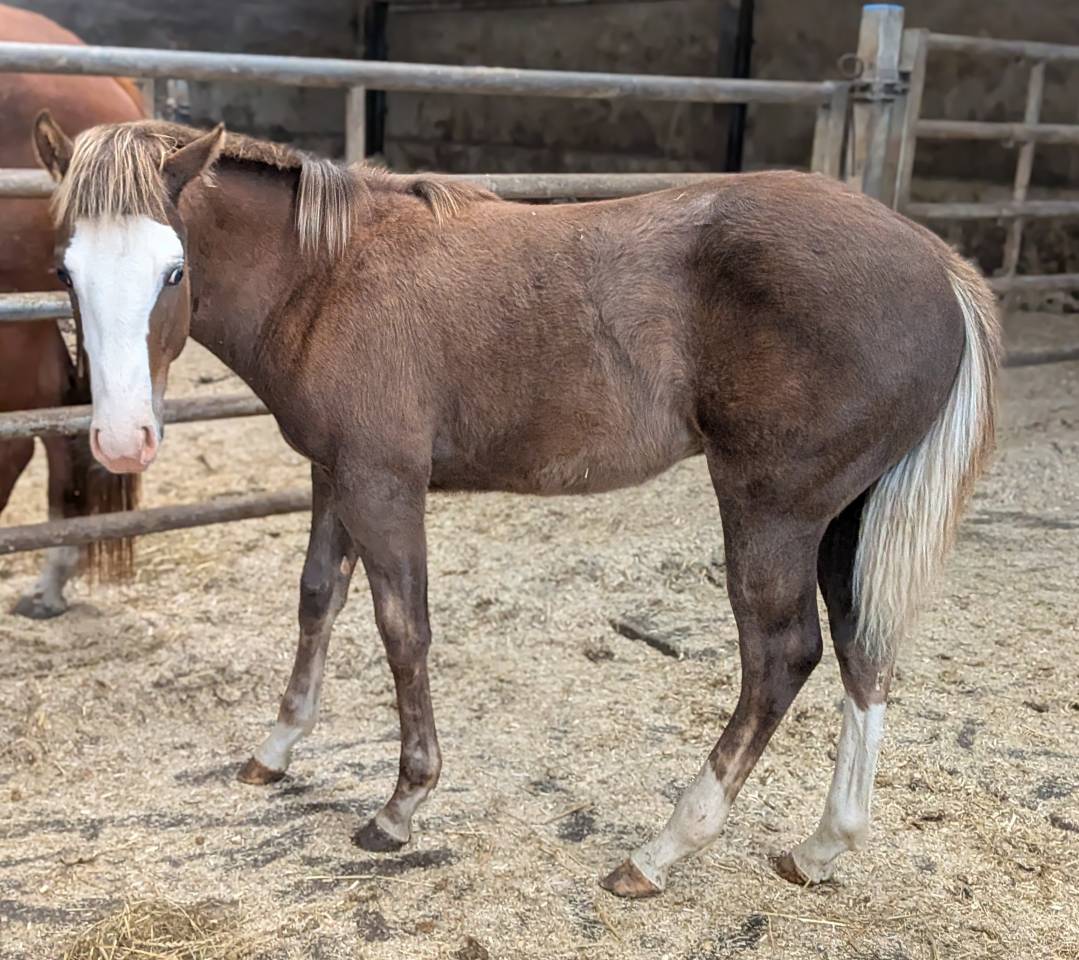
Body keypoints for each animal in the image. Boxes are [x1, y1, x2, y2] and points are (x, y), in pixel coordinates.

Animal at [30, 113, 1000, 898]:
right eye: (65, 270)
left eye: (173, 270)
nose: (122, 440)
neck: (332, 276)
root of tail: (938, 266)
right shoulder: (334, 476)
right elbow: (316, 600)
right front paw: (276, 749)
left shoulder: (383, 482)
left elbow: (402, 629)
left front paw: (401, 805)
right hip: (843, 515)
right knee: (862, 648)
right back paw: (823, 846)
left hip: (772, 508)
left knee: (780, 658)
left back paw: (660, 851)